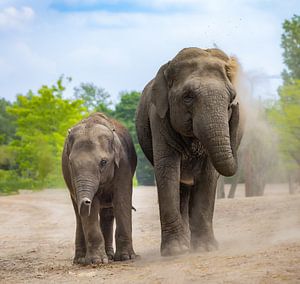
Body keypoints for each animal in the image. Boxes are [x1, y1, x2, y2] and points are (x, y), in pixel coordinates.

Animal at [62, 112, 137, 266]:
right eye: (70, 163)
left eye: (103, 162)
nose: (86, 201)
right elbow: (92, 209)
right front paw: (96, 261)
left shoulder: (123, 164)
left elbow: (122, 200)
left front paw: (126, 258)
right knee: (79, 215)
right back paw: (80, 260)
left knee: (107, 213)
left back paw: (110, 256)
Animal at [136, 47, 244, 256]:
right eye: (188, 97)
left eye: (231, 99)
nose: (236, 106)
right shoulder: (158, 117)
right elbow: (167, 170)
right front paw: (175, 251)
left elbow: (209, 175)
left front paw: (205, 248)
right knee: (181, 188)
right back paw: (185, 244)